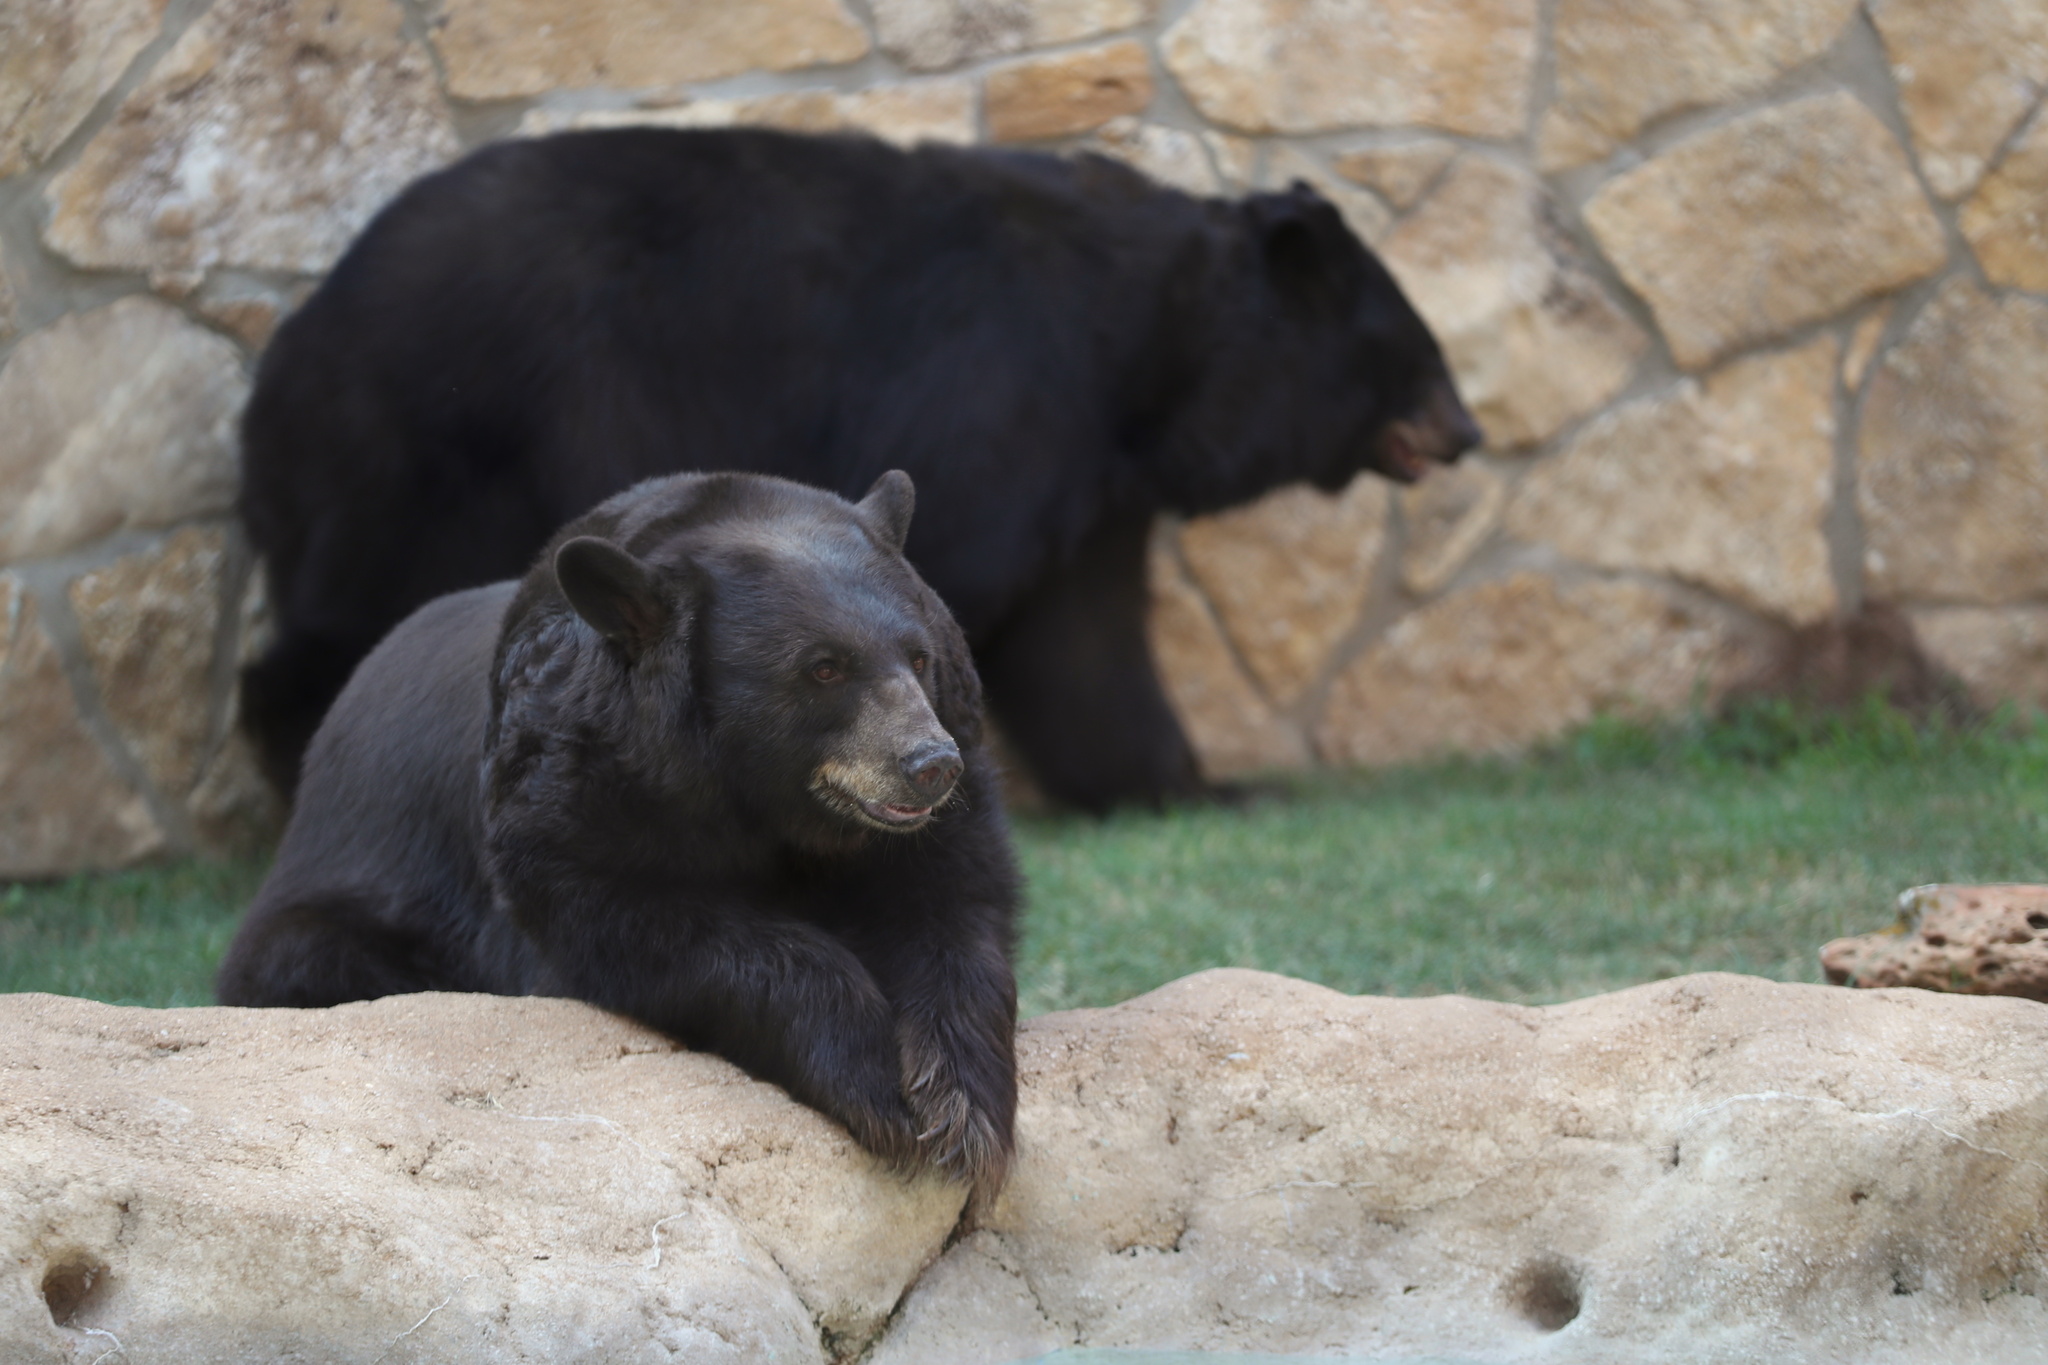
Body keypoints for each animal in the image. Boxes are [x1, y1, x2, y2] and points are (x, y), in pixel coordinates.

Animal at [217, 470, 1020, 1199]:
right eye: (823, 668)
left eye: (919, 657)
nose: (930, 765)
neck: (772, 810)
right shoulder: (563, 792)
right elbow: (626, 924)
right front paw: (872, 1080)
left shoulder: (939, 806)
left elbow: (954, 905)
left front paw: (961, 1108)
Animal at [237, 126, 1482, 813]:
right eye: (1412, 345)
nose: (1467, 429)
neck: (1144, 352)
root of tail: (285, 356)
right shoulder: (994, 390)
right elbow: (956, 579)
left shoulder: (1089, 478)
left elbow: (1085, 644)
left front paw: (1205, 783)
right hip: (447, 438)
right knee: (355, 619)